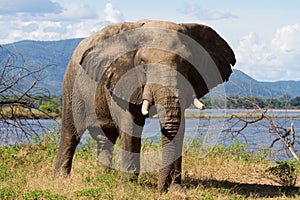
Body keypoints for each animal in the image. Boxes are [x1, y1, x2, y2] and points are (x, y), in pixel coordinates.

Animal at [54, 19, 237, 192]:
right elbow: (130, 125)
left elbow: (179, 125)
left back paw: (103, 178)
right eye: (142, 64)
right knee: (71, 133)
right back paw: (61, 179)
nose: (161, 189)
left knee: (105, 138)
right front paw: (128, 187)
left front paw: (176, 190)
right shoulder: (121, 79)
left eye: (187, 64)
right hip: (71, 84)